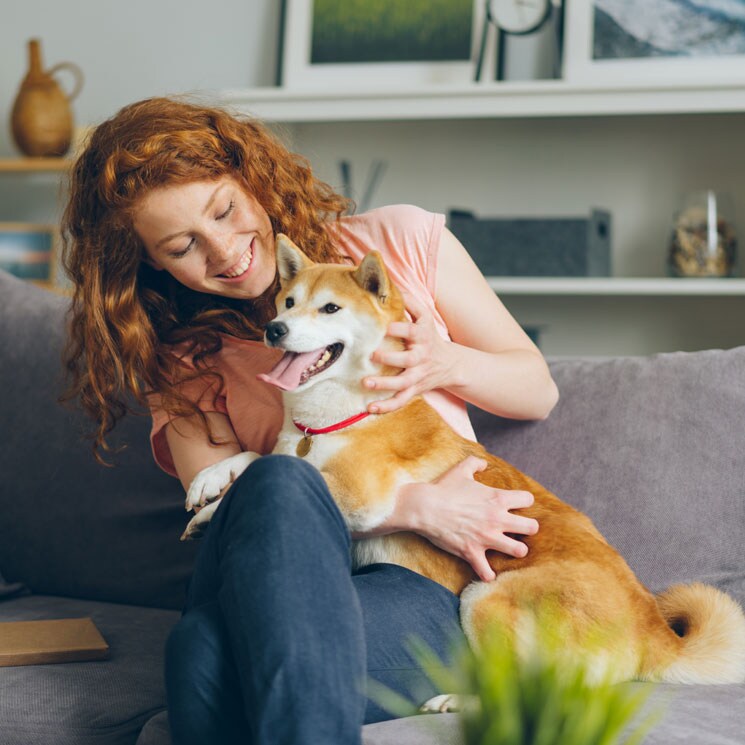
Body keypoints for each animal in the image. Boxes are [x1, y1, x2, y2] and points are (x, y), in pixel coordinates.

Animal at [182, 234, 744, 692]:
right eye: (288, 302)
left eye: (330, 309)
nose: (274, 329)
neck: (339, 415)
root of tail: (655, 633)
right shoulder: (292, 445)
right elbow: (260, 455)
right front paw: (209, 481)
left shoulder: (360, 493)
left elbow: (275, 472)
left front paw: (215, 508)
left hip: (485, 596)